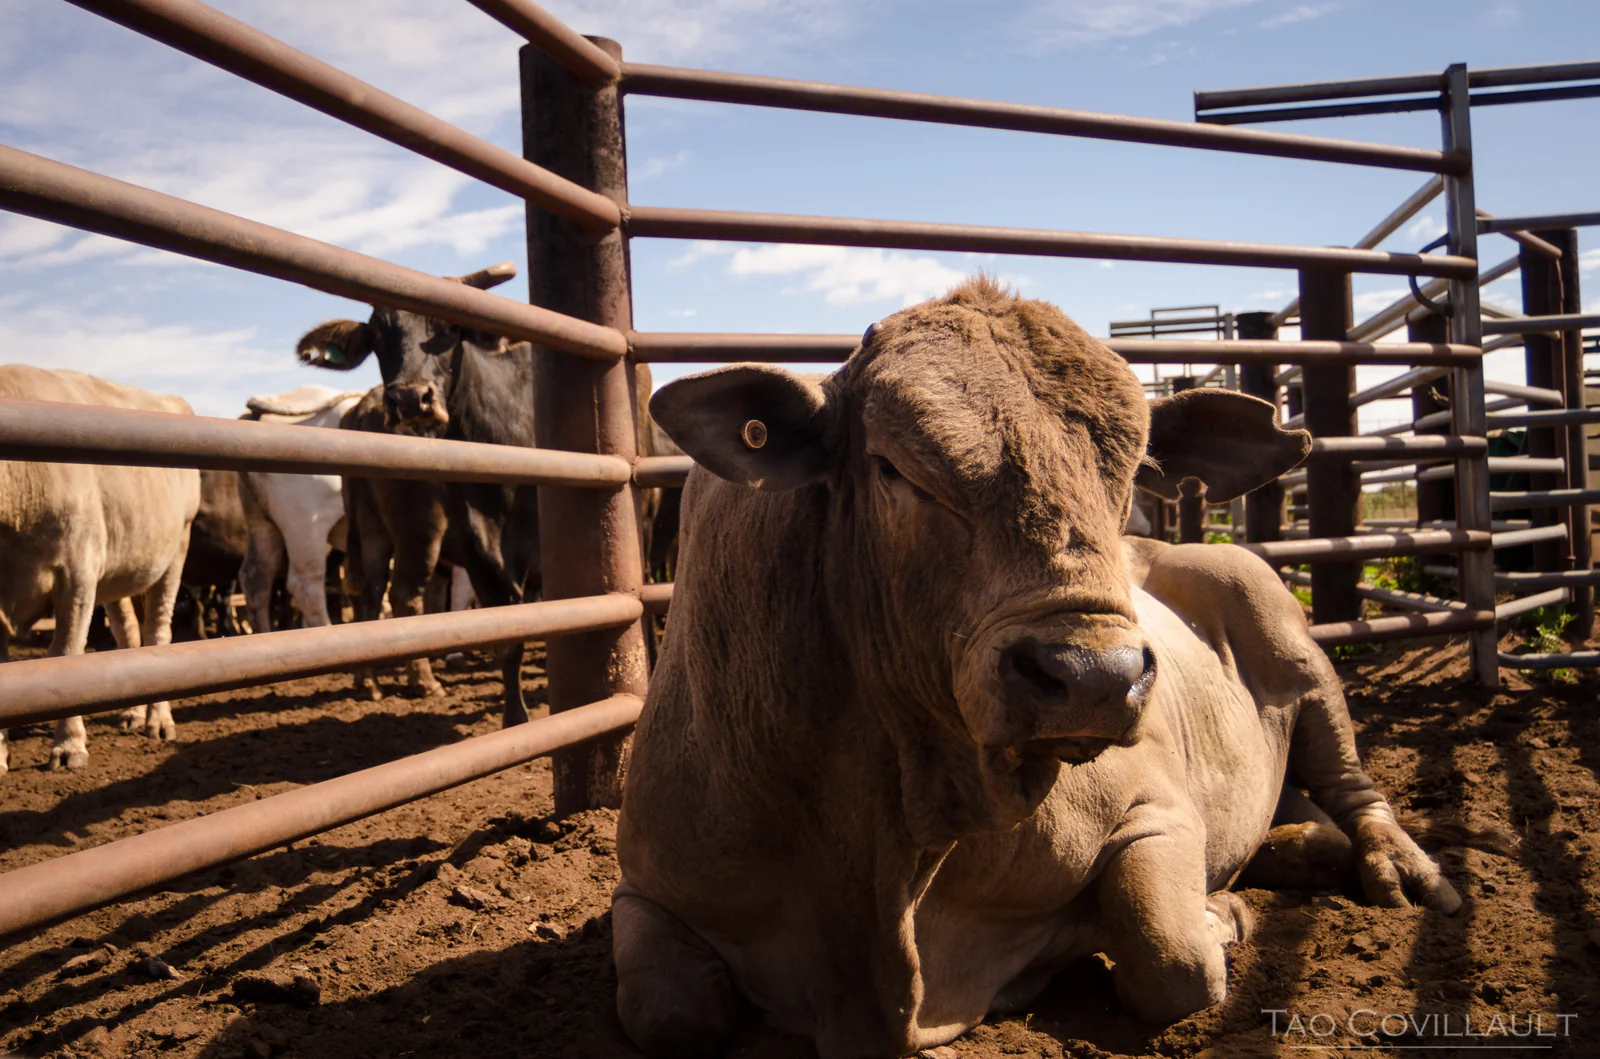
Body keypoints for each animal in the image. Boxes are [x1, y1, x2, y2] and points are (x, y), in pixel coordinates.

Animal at [0, 366, 199, 773]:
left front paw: (69, 745)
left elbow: (67, 652)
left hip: (176, 550)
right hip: (118, 570)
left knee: (158, 632)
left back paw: (159, 721)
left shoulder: (78, 568)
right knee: (129, 634)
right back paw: (133, 713)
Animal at [611, 279, 1461, 1058]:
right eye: (893, 468)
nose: (1093, 675)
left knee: (1353, 781)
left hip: (1285, 632)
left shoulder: (1155, 809)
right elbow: (669, 1012)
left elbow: (1171, 954)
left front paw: (1221, 915)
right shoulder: (644, 888)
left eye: (1133, 473)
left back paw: (1396, 864)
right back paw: (1302, 843)